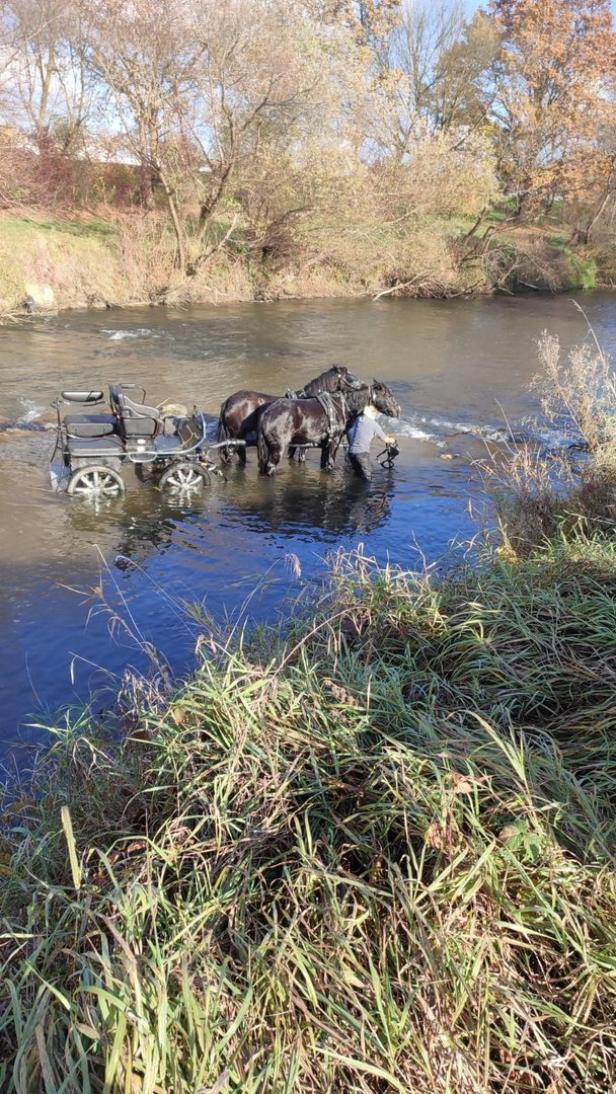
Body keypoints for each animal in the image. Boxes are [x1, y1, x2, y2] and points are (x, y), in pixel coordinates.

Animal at [256, 380, 401, 476]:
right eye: (388, 395)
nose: (398, 410)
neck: (343, 406)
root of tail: (266, 413)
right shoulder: (334, 442)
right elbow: (330, 464)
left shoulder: (324, 445)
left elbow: (323, 464)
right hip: (278, 448)